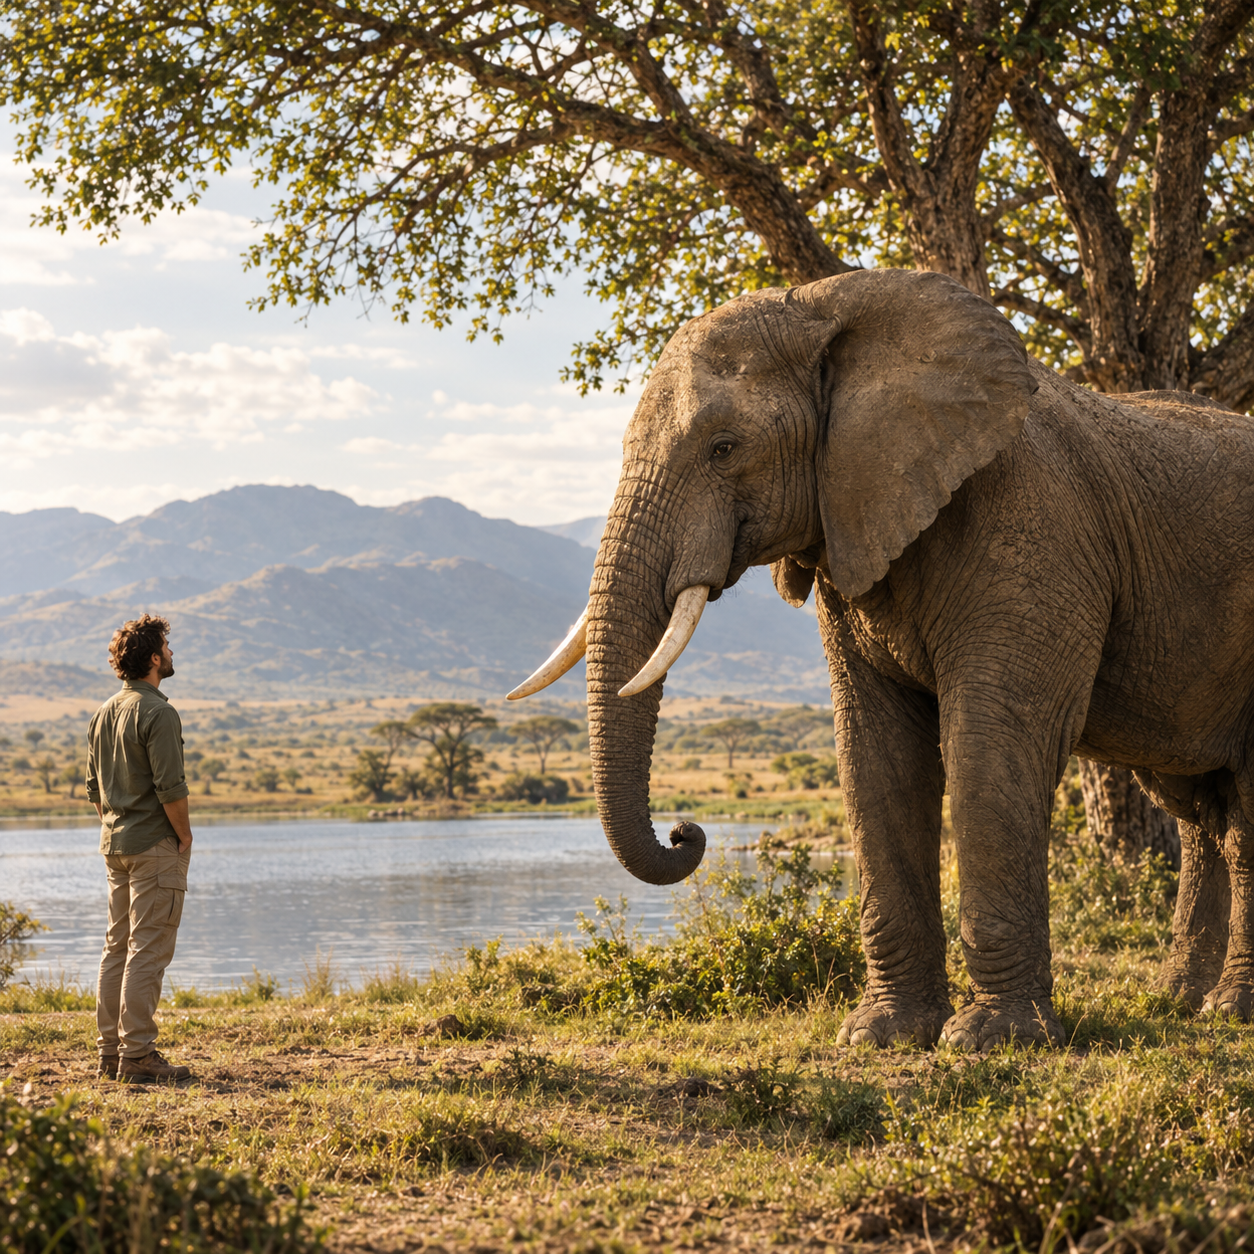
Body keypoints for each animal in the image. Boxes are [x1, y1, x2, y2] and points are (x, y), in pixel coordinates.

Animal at [509, 267, 1254, 1051]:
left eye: (723, 447)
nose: (686, 832)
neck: (834, 305)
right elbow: (878, 755)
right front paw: (883, 1035)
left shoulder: (1036, 528)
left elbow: (993, 744)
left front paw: (993, 1040)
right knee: (1201, 812)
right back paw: (1181, 1004)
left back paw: (1226, 1010)